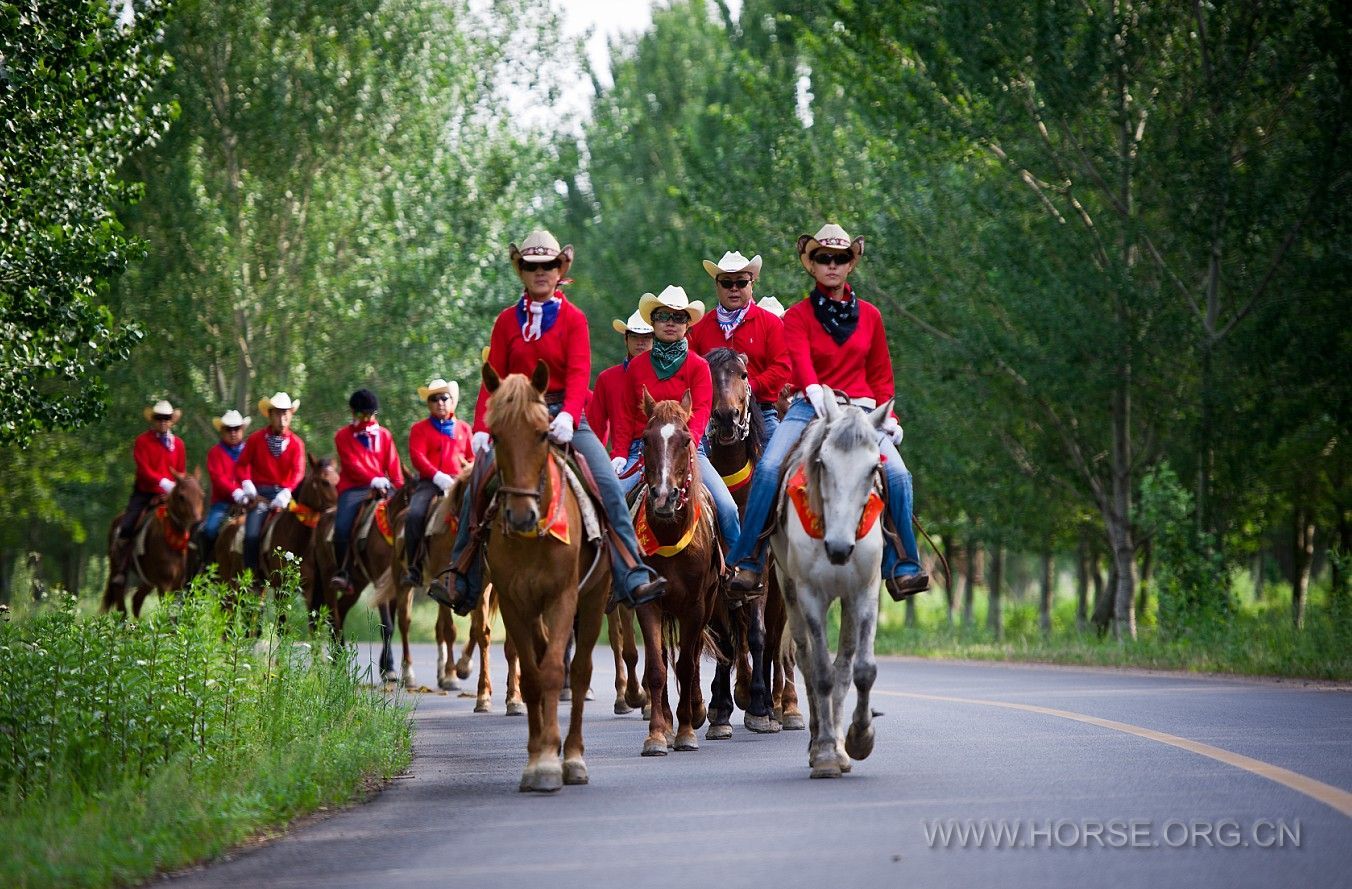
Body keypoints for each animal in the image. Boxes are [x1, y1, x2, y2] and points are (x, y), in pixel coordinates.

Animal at [100, 470, 204, 616]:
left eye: (201, 495)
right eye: (181, 496)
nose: (197, 522)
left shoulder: (177, 584)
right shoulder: (164, 584)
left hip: (148, 580)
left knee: (136, 600)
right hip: (117, 569)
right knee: (120, 600)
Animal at [481, 359, 608, 789]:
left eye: (542, 434)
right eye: (495, 435)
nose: (521, 515)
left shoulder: (563, 597)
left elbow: (554, 671)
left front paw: (555, 761)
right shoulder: (513, 603)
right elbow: (533, 676)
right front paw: (537, 757)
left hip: (594, 598)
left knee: (581, 671)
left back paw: (574, 756)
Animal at [630, 391, 724, 751]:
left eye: (685, 440)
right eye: (646, 439)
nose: (664, 496)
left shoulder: (695, 607)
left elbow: (686, 665)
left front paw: (686, 730)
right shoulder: (648, 603)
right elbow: (657, 667)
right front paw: (658, 733)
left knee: (694, 657)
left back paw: (695, 711)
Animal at [697, 348, 800, 734]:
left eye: (742, 374)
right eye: (708, 375)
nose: (726, 418)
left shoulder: (759, 573)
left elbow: (759, 635)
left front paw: (760, 707)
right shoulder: (719, 578)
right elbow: (725, 638)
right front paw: (721, 707)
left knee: (774, 641)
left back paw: (782, 705)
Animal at [767, 394, 892, 778]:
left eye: (873, 468)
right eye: (823, 463)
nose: (838, 548)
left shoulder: (864, 592)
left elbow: (861, 669)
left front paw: (858, 738)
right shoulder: (809, 594)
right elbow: (820, 672)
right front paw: (824, 754)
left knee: (845, 663)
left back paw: (840, 744)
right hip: (789, 592)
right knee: (806, 659)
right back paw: (819, 742)